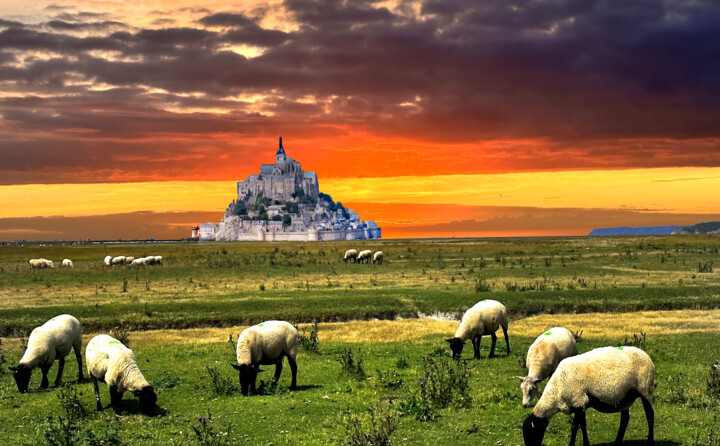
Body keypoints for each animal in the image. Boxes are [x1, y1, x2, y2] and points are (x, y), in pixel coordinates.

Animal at [520, 346, 656, 446]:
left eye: (531, 432)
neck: (556, 391)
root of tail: (647, 356)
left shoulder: (580, 401)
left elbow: (578, 426)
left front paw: (580, 444)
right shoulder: (577, 404)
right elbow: (579, 425)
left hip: (644, 388)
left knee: (650, 414)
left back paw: (650, 441)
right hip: (623, 396)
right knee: (625, 418)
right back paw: (617, 442)